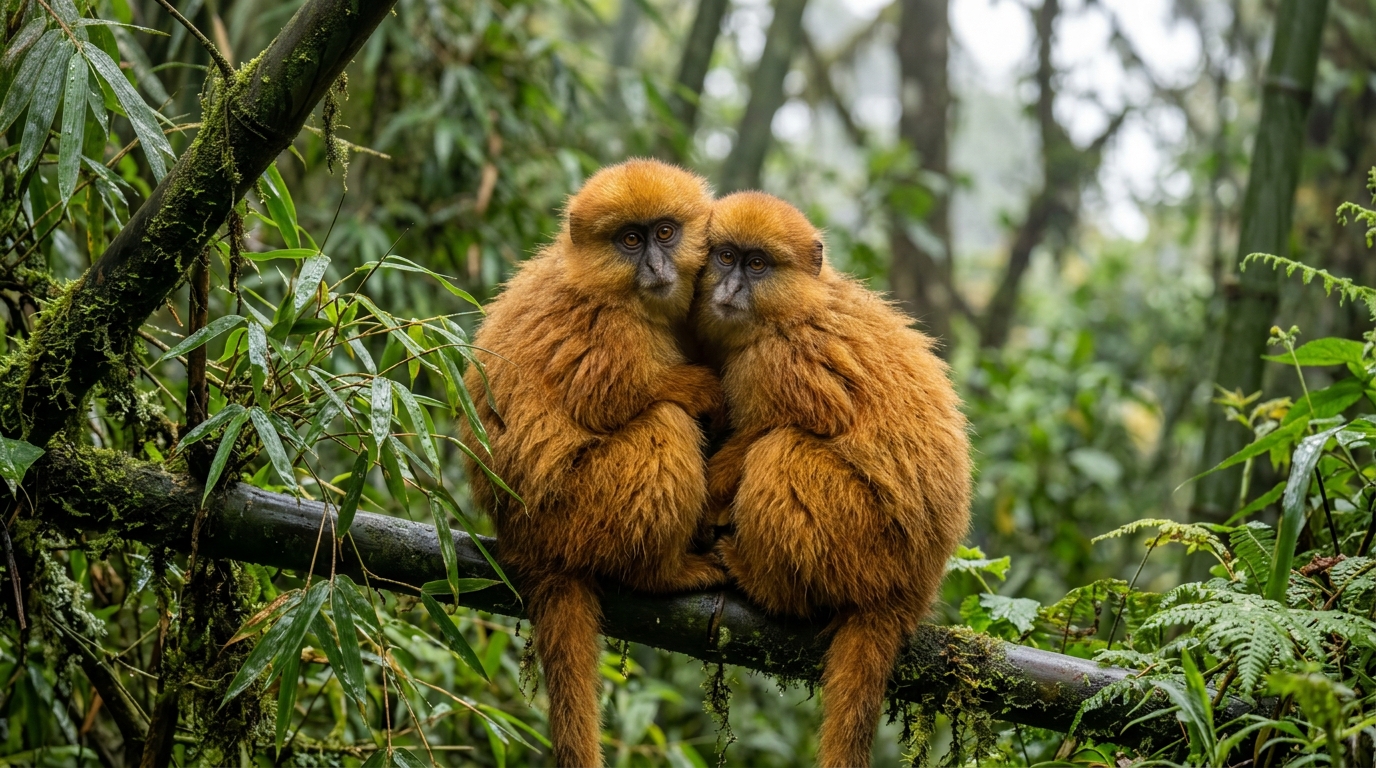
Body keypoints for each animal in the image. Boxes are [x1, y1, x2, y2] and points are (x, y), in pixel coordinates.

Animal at [459, 159, 728, 768]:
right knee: (665, 423)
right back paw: (662, 573)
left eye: (665, 233)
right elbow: (606, 403)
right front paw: (696, 390)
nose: (654, 264)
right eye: (630, 240)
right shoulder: (607, 326)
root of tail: (526, 543)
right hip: (580, 512)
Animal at [694, 192, 971, 768]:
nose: (731, 288)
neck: (784, 312)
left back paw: (766, 586)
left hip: (863, 545)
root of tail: (910, 589)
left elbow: (778, 427)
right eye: (725, 258)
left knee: (781, 451)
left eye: (757, 265)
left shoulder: (776, 361)